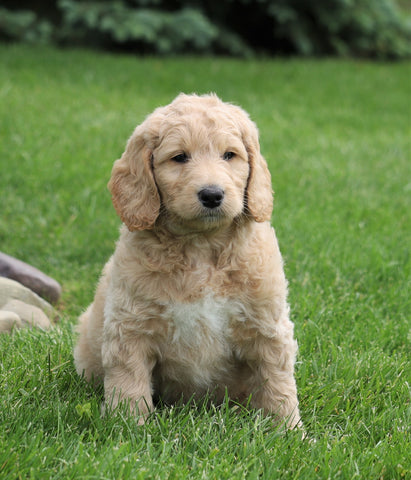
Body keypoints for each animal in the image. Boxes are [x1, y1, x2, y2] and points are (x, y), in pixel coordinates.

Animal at [72, 94, 300, 428]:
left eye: (229, 155)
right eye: (179, 157)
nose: (212, 195)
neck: (201, 248)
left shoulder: (267, 324)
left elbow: (277, 380)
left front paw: (288, 429)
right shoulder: (130, 325)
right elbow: (129, 379)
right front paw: (127, 426)